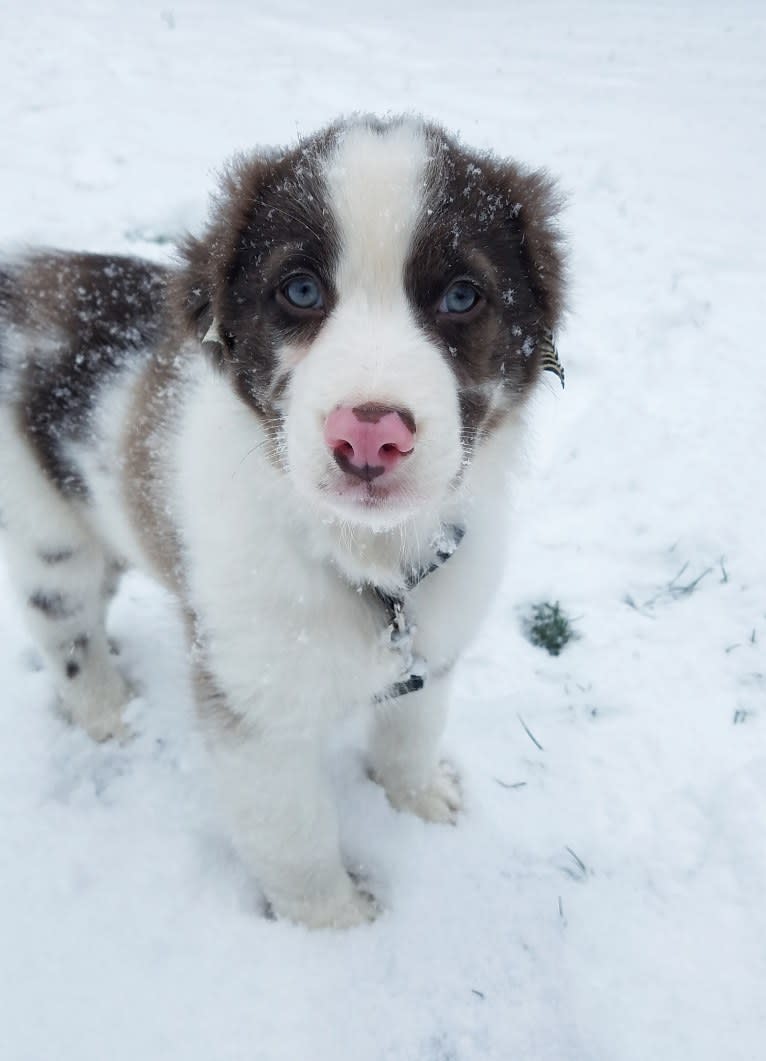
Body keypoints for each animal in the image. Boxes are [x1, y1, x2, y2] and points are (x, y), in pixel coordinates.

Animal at [0, 118, 560, 929]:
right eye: (300, 289)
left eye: (463, 295)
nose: (369, 437)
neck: (365, 557)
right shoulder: (255, 707)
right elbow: (291, 829)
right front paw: (334, 923)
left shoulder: (433, 647)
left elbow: (410, 732)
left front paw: (419, 800)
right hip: (47, 529)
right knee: (62, 624)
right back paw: (104, 708)